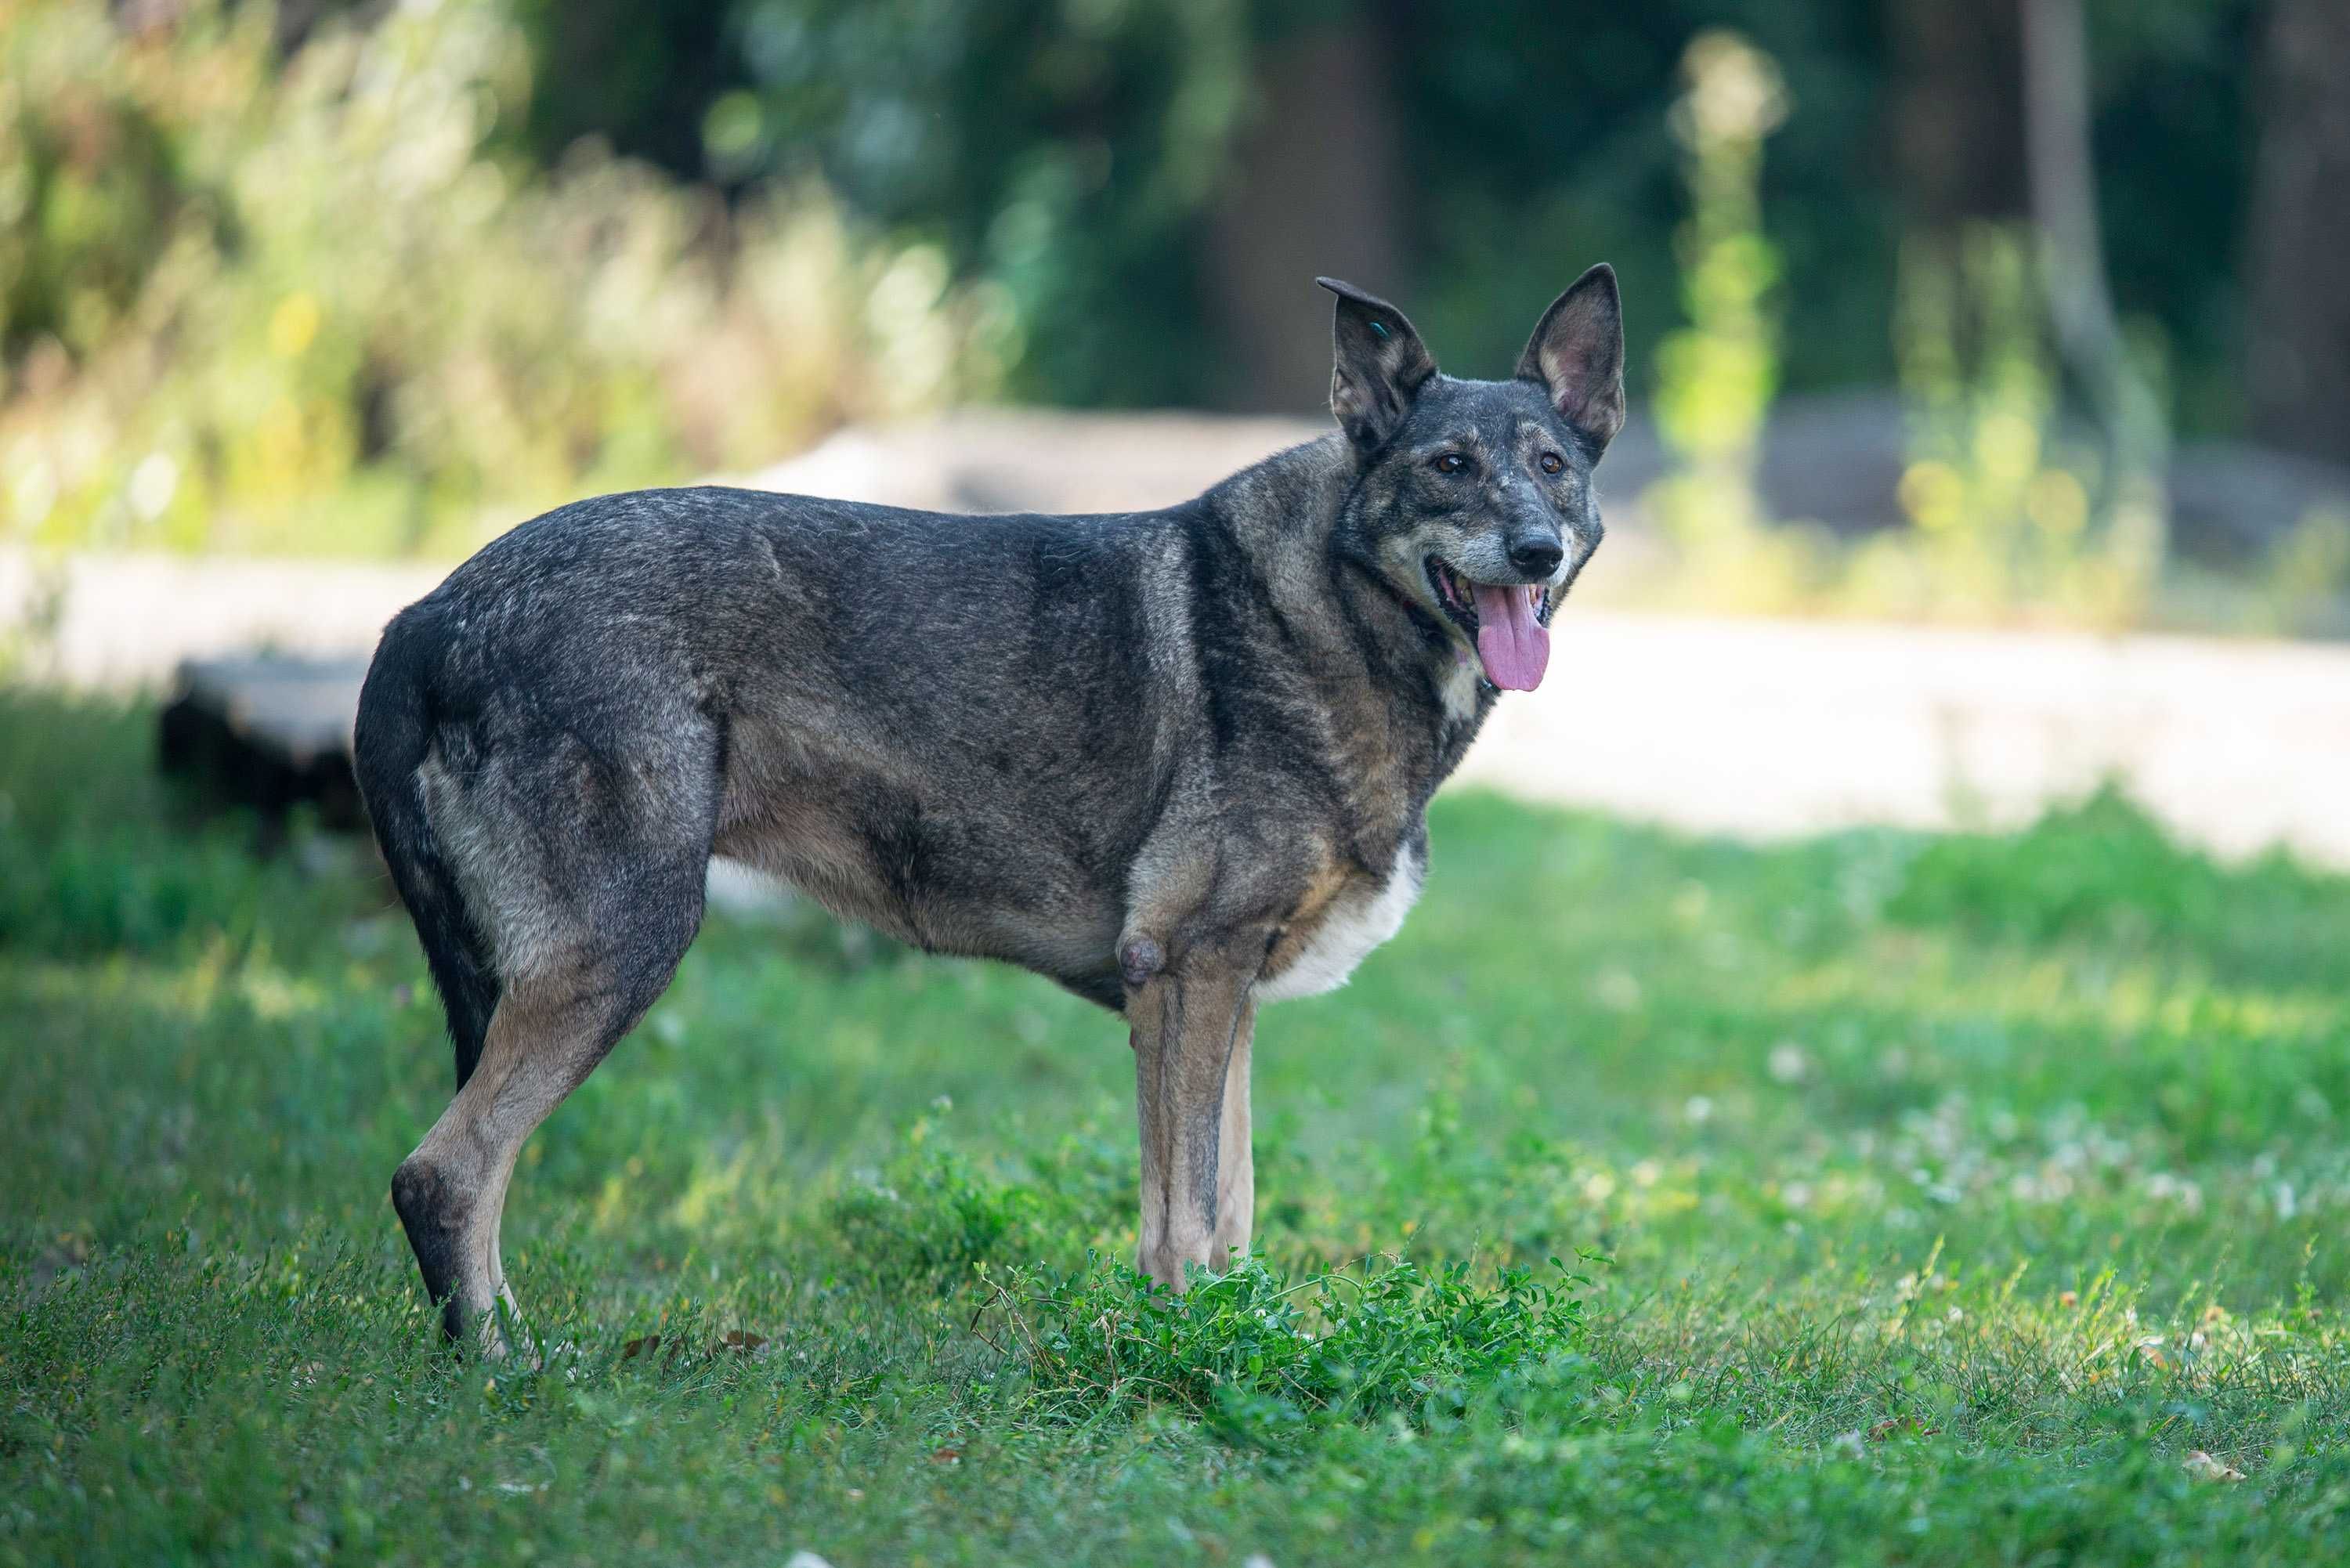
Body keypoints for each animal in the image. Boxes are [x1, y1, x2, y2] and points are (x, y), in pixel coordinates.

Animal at [357, 270, 1626, 1353]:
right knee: (445, 1174)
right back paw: (510, 1364)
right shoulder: (1187, 973)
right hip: (623, 945)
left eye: (1554, 464)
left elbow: (1233, 1208)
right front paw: (1190, 1350)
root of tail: (426, 613)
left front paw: (1238, 1335)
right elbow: (1186, 1216)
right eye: (1450, 464)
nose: (1535, 548)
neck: (1327, 602)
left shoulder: (1228, 996)